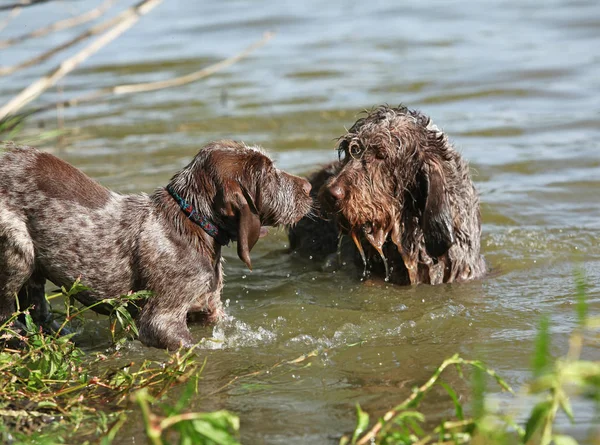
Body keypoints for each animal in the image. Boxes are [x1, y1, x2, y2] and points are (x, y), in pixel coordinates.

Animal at [1, 140, 314, 348]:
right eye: (269, 174)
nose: (310, 187)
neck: (191, 220)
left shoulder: (208, 310)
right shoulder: (160, 322)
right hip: (18, 251)